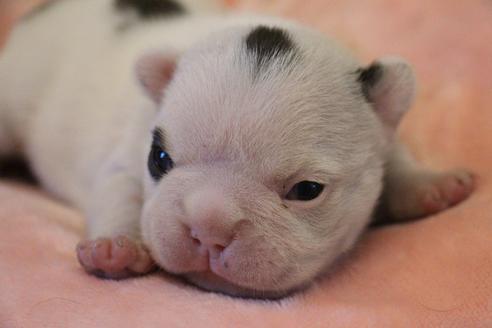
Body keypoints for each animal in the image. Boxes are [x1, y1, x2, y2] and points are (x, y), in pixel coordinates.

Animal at [0, 0, 472, 298]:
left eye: (307, 190)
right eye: (159, 159)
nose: (208, 228)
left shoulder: (381, 133)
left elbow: (396, 157)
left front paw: (431, 185)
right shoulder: (125, 157)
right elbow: (120, 194)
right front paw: (116, 248)